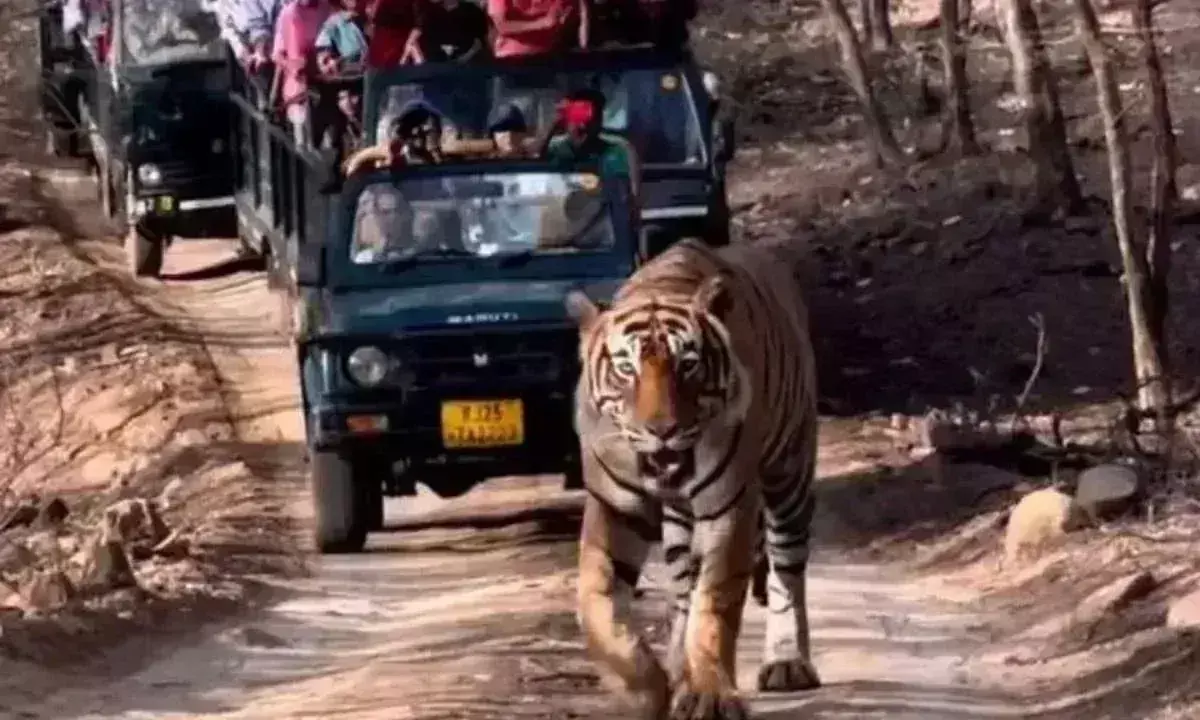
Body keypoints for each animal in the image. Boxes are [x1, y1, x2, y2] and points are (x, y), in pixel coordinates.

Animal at [566, 238, 820, 715]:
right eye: (626, 369)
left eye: (688, 365)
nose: (661, 429)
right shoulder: (612, 507)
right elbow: (597, 602)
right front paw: (646, 690)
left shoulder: (730, 507)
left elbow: (715, 605)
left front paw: (710, 694)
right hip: (681, 531)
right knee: (682, 590)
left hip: (789, 473)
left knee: (787, 569)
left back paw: (787, 662)